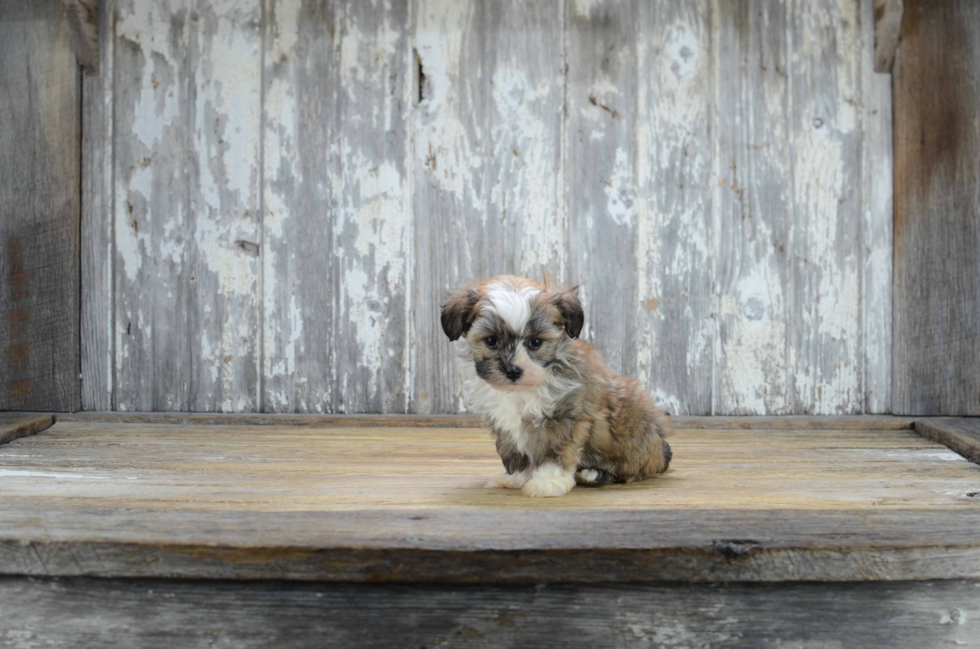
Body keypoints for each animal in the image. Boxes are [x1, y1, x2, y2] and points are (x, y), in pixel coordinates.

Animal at [444, 274, 672, 496]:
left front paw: (547, 482)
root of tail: (662, 448)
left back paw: (593, 474)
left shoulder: (564, 417)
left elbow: (554, 450)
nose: (513, 371)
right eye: (491, 341)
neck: (523, 391)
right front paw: (516, 478)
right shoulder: (505, 424)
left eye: (536, 342)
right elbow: (515, 451)